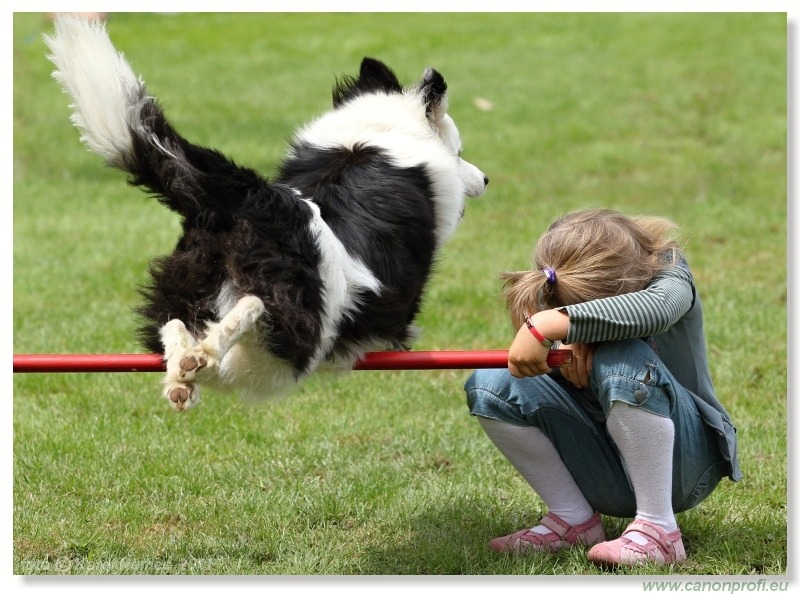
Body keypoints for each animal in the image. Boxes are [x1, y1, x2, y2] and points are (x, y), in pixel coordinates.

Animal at [47, 17, 490, 410]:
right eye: (460, 152)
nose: (485, 178)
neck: (373, 137)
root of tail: (242, 196)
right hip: (301, 317)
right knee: (253, 316)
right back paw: (204, 352)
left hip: (189, 279)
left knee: (176, 325)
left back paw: (184, 373)